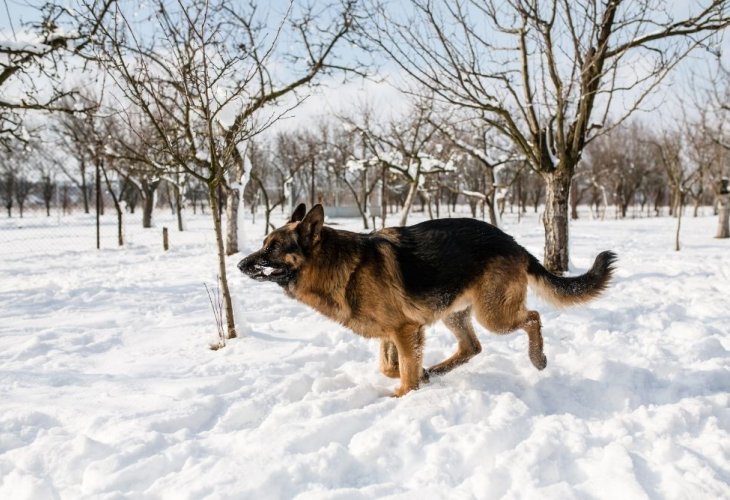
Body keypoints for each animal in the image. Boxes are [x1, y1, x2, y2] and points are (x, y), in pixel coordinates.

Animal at [239, 205, 616, 396]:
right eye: (263, 243)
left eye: (273, 248)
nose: (241, 265)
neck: (340, 265)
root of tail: (514, 243)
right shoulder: (397, 332)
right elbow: (390, 366)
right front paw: (420, 376)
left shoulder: (405, 330)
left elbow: (404, 373)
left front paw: (403, 396)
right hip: (454, 313)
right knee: (472, 347)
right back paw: (437, 370)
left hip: (493, 314)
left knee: (533, 316)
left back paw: (537, 358)